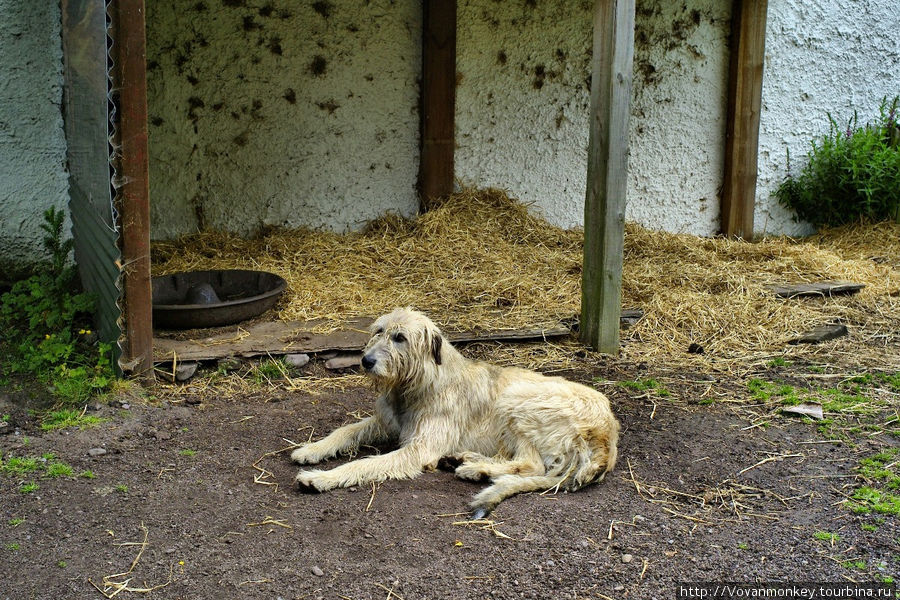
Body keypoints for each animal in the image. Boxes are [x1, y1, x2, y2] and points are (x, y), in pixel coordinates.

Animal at [294, 308, 620, 516]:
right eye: (378, 331)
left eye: (400, 338)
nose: (366, 361)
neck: (418, 382)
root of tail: (608, 433)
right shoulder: (387, 423)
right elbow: (346, 430)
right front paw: (312, 449)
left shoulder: (420, 448)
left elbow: (364, 464)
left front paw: (322, 477)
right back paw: (466, 461)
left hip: (518, 400)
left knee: (532, 465)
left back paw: (474, 469)